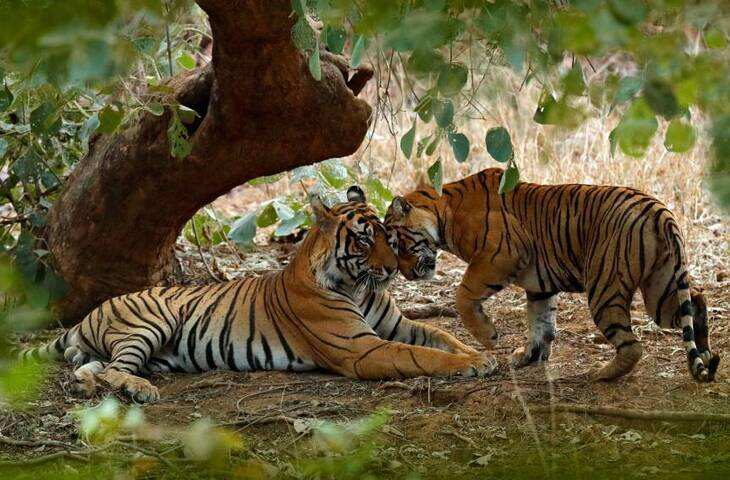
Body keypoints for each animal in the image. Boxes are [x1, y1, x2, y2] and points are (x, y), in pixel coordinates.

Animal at [22, 187, 495, 402]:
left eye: (388, 236)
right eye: (364, 240)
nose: (394, 269)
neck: (358, 287)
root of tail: (91, 313)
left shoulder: (399, 325)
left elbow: (442, 338)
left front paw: (483, 353)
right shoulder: (362, 348)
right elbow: (424, 356)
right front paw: (473, 364)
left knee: (94, 367)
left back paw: (107, 379)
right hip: (150, 321)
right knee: (113, 370)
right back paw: (141, 389)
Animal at [384, 168, 720, 383]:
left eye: (397, 242)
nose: (406, 274)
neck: (444, 211)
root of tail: (658, 209)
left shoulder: (498, 256)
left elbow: (463, 295)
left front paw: (489, 337)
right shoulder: (539, 285)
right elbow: (539, 322)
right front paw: (529, 355)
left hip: (604, 288)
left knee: (633, 346)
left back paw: (600, 374)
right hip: (659, 287)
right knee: (696, 300)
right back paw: (706, 355)